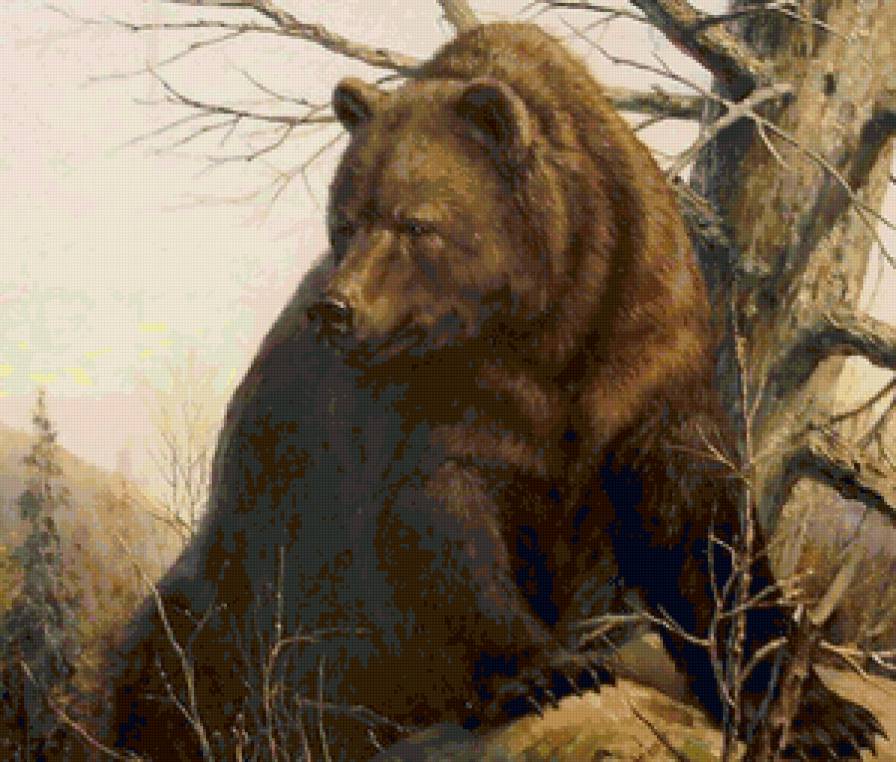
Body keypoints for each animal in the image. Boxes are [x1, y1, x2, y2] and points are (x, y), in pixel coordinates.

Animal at [100, 22, 883, 762]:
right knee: (184, 658)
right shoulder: (431, 405)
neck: (545, 321)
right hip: (237, 586)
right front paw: (545, 670)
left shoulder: (646, 356)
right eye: (344, 221)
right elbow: (440, 518)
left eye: (416, 222)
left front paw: (823, 716)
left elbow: (702, 529)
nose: (336, 309)